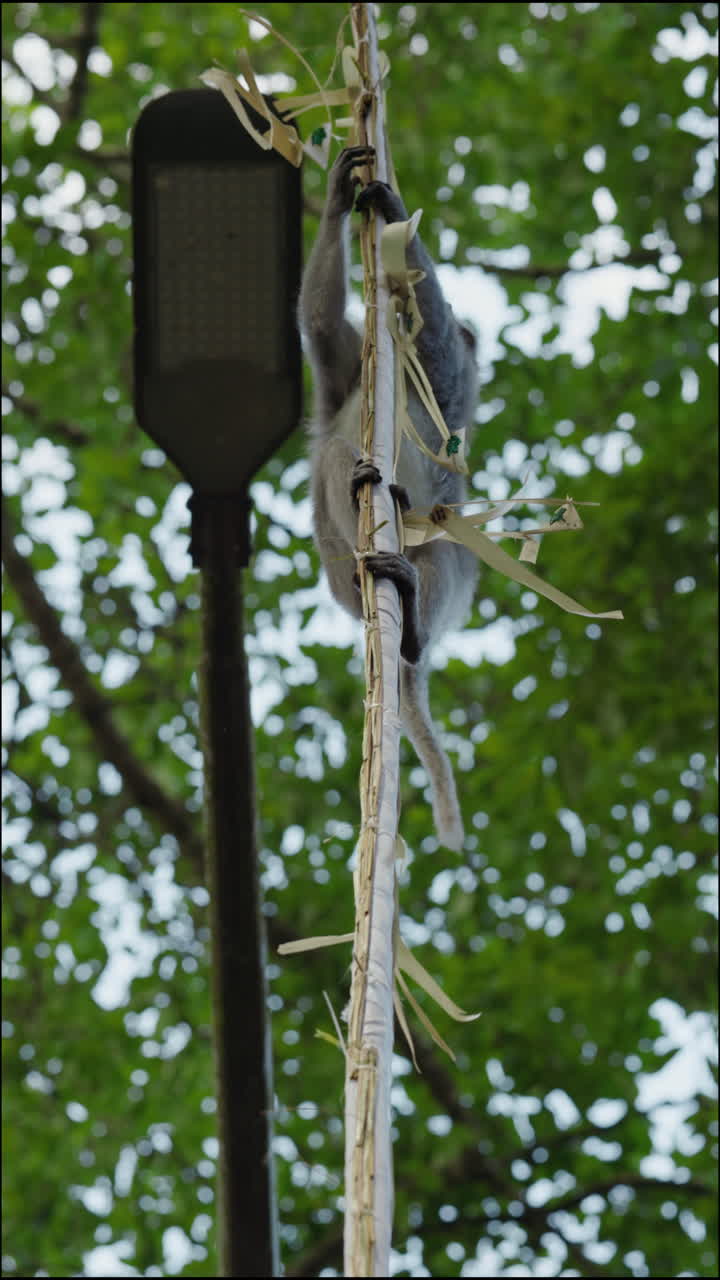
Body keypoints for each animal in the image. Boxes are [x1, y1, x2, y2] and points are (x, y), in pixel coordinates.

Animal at [298, 145, 478, 851]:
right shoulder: (353, 366)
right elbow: (322, 321)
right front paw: (336, 199)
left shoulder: (447, 382)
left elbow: (441, 349)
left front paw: (395, 212)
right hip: (339, 575)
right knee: (336, 461)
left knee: (440, 557)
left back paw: (411, 626)